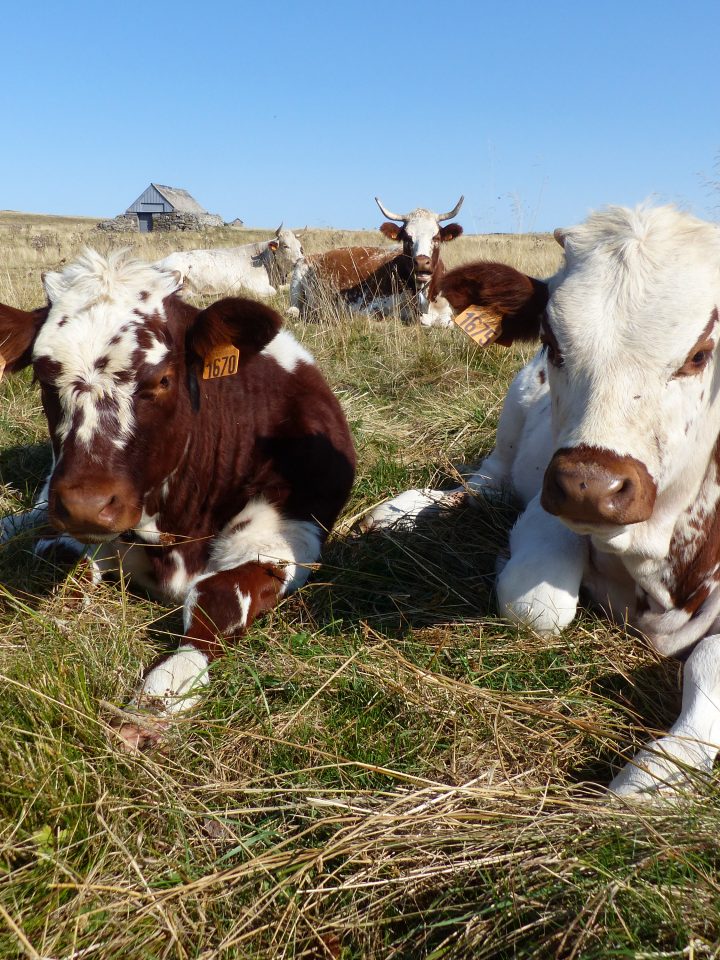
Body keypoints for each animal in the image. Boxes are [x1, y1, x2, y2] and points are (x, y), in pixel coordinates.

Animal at [0, 251, 356, 752]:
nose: (88, 504)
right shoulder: (73, 524)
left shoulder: (289, 535)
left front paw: (156, 700)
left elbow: (216, 599)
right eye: (43, 377)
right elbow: (63, 564)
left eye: (163, 379)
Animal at [155, 226, 304, 298]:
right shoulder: (251, 284)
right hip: (177, 272)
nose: (299, 260)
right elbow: (273, 291)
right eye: (285, 246)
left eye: (300, 247)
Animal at [368, 204, 720, 804]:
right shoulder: (544, 509)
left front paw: (654, 780)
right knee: (482, 485)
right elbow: (541, 608)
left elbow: (707, 667)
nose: (590, 485)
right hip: (511, 423)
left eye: (700, 354)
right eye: (554, 342)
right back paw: (400, 512)